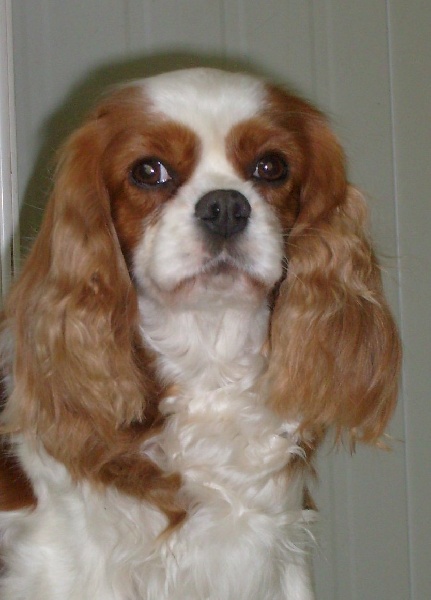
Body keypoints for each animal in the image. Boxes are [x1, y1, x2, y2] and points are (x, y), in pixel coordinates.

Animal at [0, 68, 401, 599]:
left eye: (271, 167)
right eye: (148, 171)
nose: (226, 205)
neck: (209, 360)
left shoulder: (275, 555)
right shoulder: (66, 561)